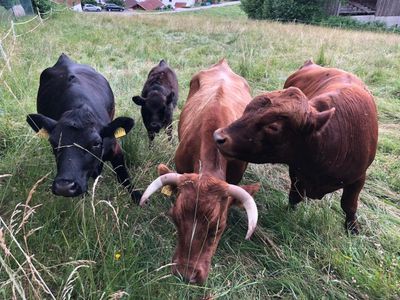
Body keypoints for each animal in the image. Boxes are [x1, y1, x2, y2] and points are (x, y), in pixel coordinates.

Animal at [25, 54, 141, 202]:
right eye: (54, 143)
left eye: (96, 143)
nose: (64, 187)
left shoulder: (115, 148)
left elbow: (124, 178)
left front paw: (139, 199)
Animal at [214, 60, 376, 234]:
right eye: (246, 111)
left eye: (273, 127)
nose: (218, 136)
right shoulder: (296, 170)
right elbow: (295, 195)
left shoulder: (359, 178)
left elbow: (349, 205)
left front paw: (352, 227)